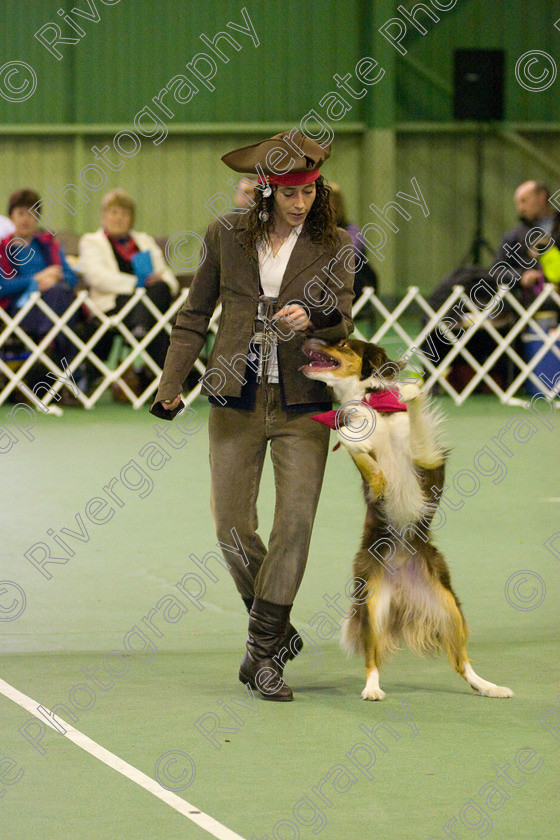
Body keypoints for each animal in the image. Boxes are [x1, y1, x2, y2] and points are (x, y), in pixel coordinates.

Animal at [300, 338, 516, 700]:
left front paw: (412, 392)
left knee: (462, 662)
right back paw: (372, 689)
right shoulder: (359, 440)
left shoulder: (428, 462)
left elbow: (416, 426)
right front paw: (378, 481)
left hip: (449, 607)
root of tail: (404, 590)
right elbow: (350, 440)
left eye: (342, 343)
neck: (371, 403)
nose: (307, 339)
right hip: (372, 603)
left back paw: (489, 687)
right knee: (372, 658)